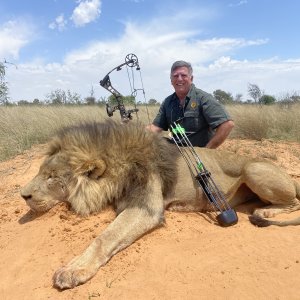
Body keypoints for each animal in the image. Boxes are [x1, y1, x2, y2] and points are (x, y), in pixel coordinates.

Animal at [20, 120, 300, 290]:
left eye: (52, 177)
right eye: (41, 172)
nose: (23, 195)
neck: (118, 166)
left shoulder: (146, 208)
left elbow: (104, 237)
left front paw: (73, 269)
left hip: (254, 169)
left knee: (294, 202)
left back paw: (265, 211)